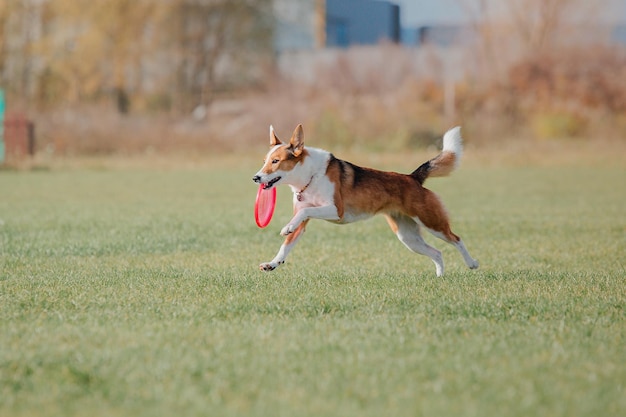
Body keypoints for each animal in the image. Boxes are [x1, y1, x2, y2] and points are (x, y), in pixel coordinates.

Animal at [251, 123, 476, 276]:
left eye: (276, 161)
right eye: (264, 161)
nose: (256, 178)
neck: (308, 176)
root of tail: (413, 178)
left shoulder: (335, 210)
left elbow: (306, 212)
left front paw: (286, 228)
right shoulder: (303, 222)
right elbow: (286, 245)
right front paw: (272, 263)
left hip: (431, 222)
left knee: (456, 239)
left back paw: (472, 263)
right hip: (408, 237)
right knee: (437, 253)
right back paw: (440, 277)